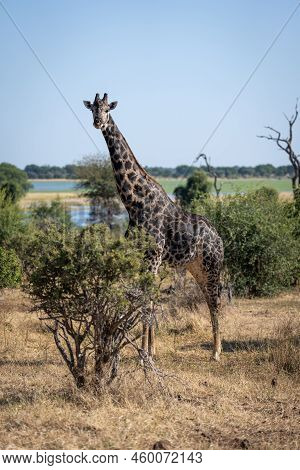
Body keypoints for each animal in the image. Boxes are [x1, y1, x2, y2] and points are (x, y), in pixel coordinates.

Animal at [83, 93, 224, 362]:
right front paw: (149, 350)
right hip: (196, 266)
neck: (134, 203)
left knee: (216, 301)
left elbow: (146, 301)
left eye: (107, 109)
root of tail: (219, 238)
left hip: (212, 265)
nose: (97, 122)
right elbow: (146, 300)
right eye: (92, 108)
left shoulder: (153, 258)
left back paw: (216, 353)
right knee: (209, 299)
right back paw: (215, 349)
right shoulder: (144, 259)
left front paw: (145, 355)